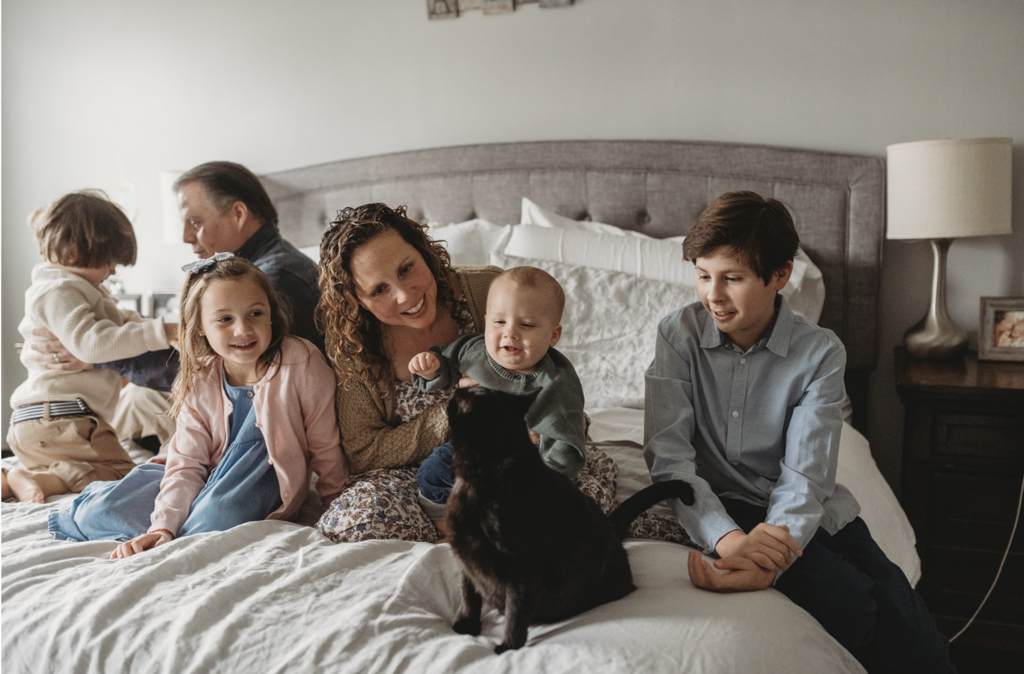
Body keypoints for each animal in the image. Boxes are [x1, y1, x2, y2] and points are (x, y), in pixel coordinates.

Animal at [448, 383, 696, 651]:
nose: (456, 387)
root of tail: (610, 525)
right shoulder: (467, 559)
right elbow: (468, 596)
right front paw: (467, 627)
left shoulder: (523, 573)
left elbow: (515, 613)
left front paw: (507, 648)